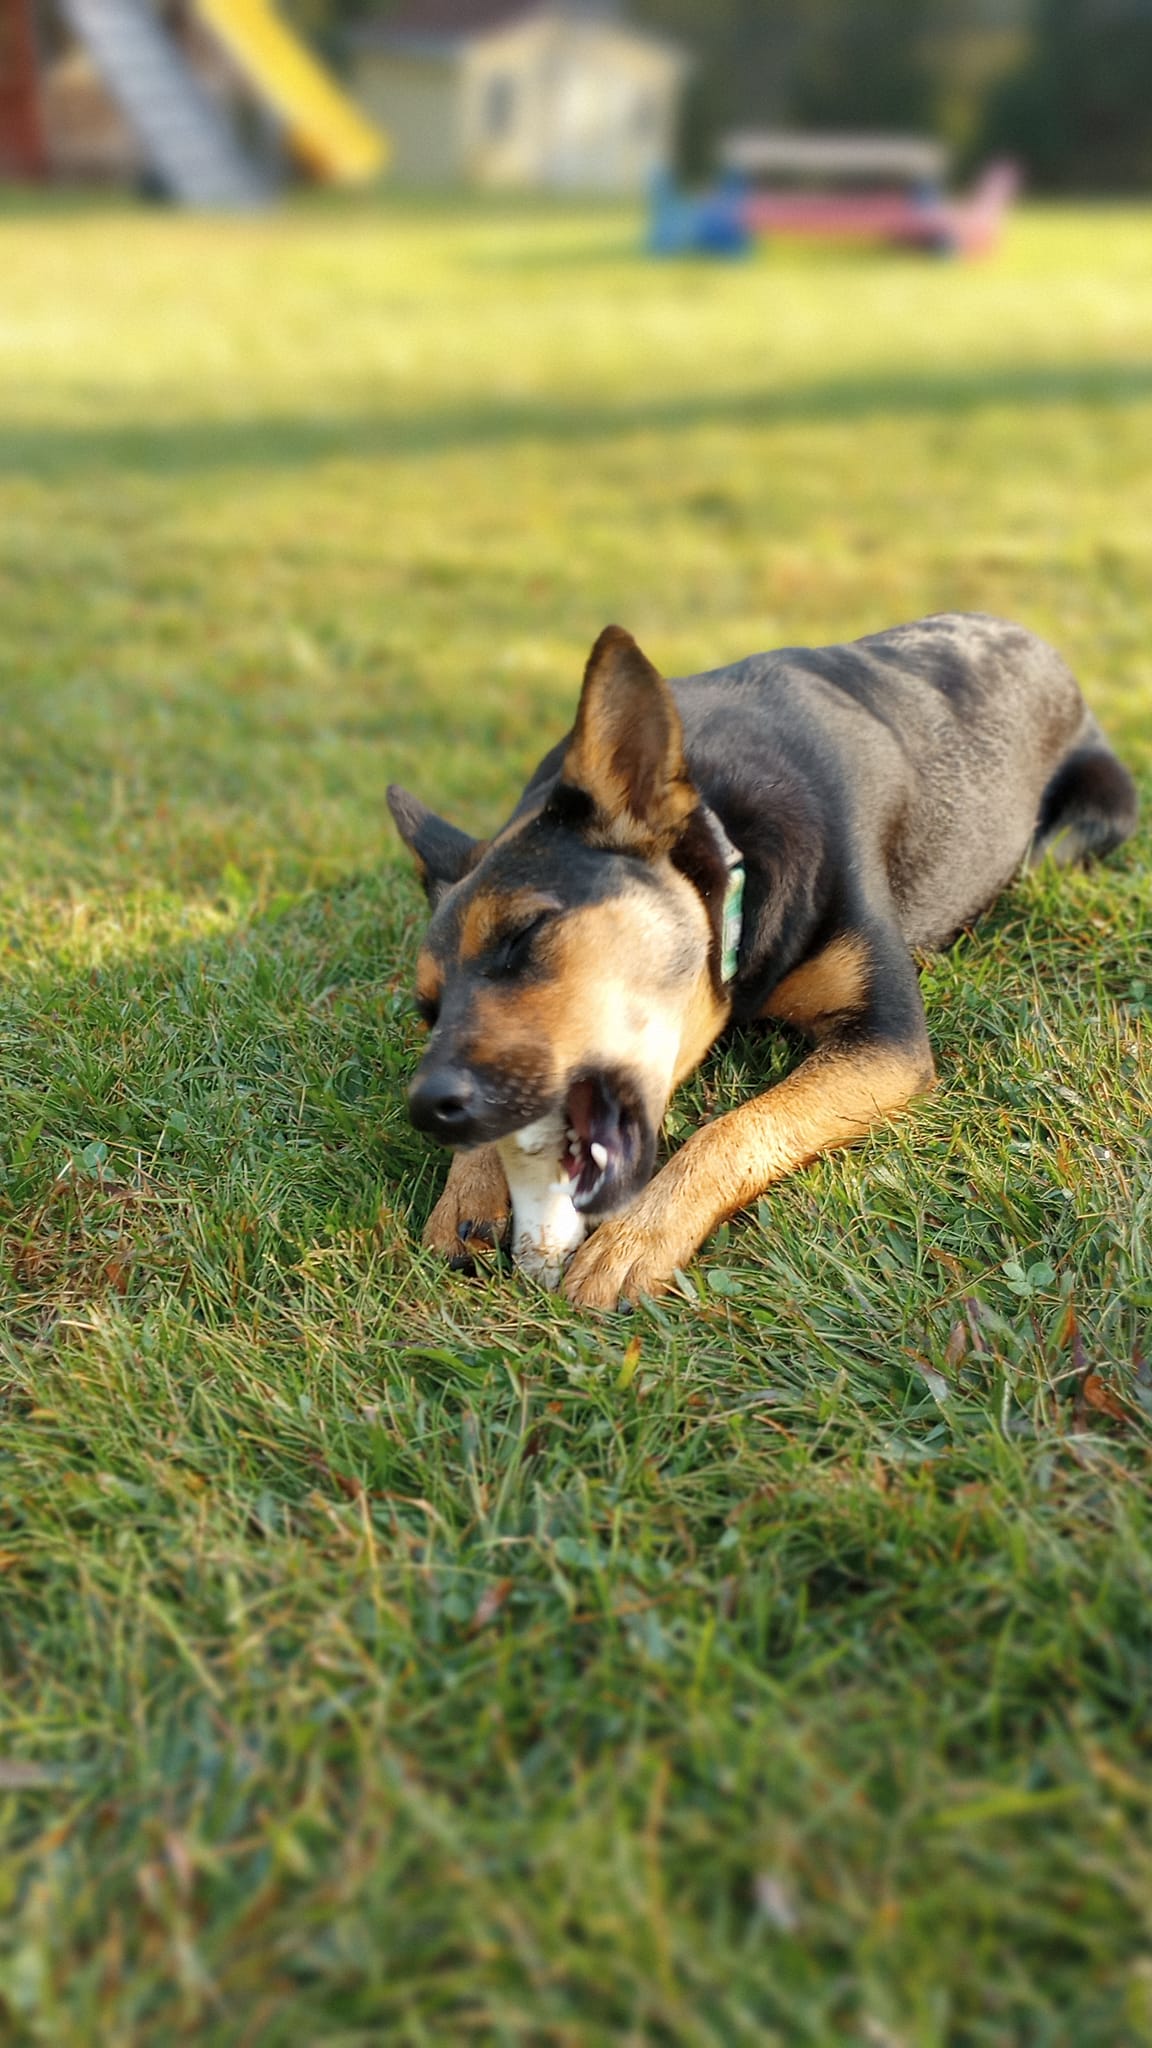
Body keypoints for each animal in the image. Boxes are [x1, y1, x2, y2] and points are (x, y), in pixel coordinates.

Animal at [385, 610, 1131, 1310]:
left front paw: (635, 1238)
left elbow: (735, 1125)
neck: (731, 855)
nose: (424, 1108)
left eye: (525, 933)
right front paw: (469, 1191)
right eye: (428, 1008)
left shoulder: (888, 1039)